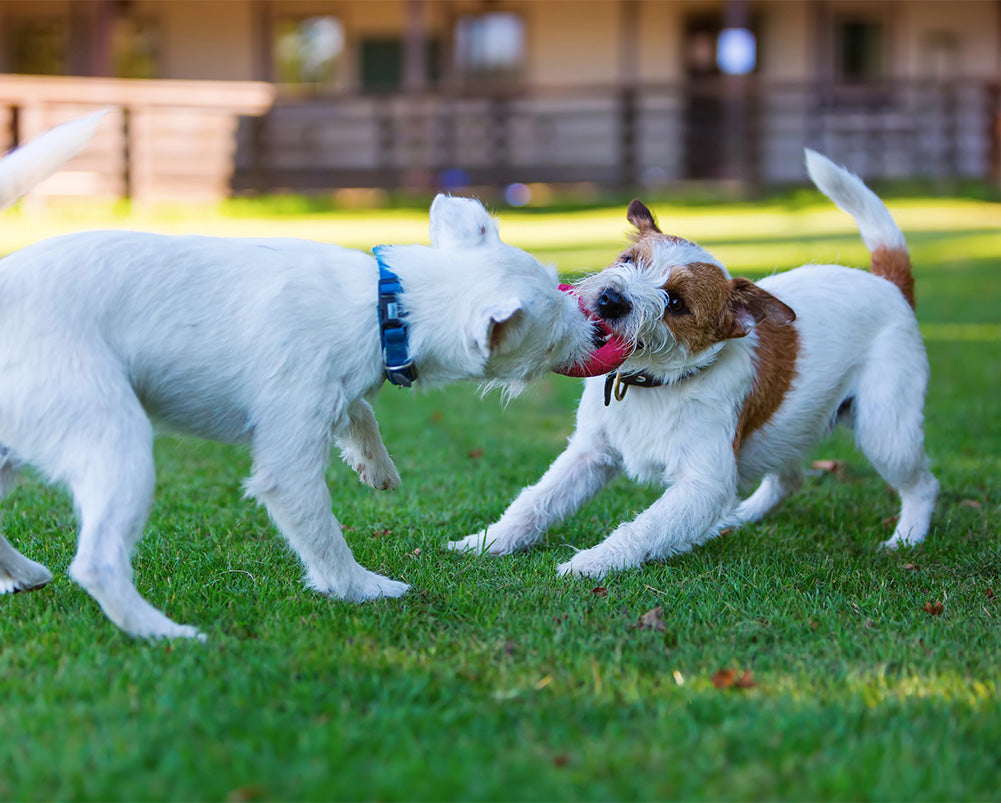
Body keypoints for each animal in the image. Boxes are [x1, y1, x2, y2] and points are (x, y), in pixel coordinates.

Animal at [1, 112, 624, 636]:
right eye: (554, 328)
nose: (600, 332)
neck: (385, 307)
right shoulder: (289, 454)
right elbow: (324, 536)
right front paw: (360, 588)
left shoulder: (338, 391)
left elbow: (361, 410)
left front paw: (376, 466)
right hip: (113, 439)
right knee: (98, 561)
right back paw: (164, 633)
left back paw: (25, 574)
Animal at [454, 150, 936, 576]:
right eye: (629, 260)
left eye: (676, 302)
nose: (611, 299)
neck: (653, 385)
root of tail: (888, 284)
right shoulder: (589, 455)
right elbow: (535, 501)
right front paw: (486, 541)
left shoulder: (702, 484)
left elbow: (642, 528)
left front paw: (592, 563)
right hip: (788, 429)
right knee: (789, 479)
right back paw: (739, 515)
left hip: (885, 431)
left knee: (922, 484)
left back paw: (907, 538)